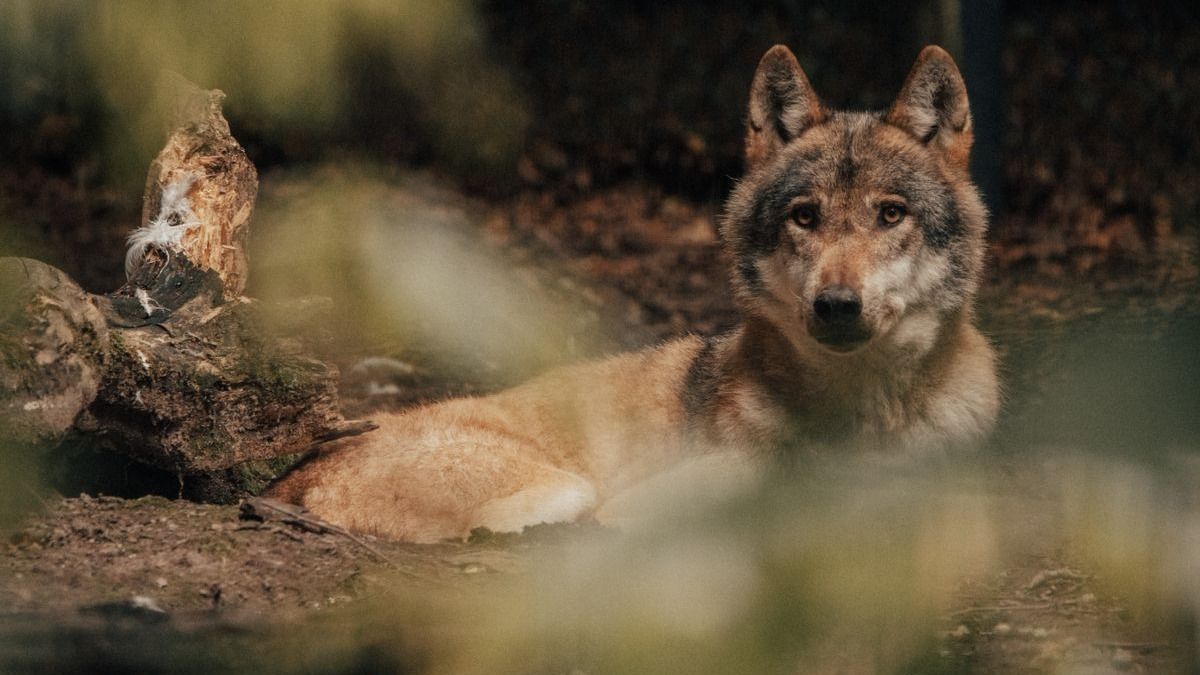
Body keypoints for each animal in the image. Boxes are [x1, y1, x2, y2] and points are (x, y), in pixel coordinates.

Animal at [272, 44, 1003, 540]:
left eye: (890, 214)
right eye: (805, 216)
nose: (837, 304)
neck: (861, 419)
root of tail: (299, 470)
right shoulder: (643, 503)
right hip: (568, 488)